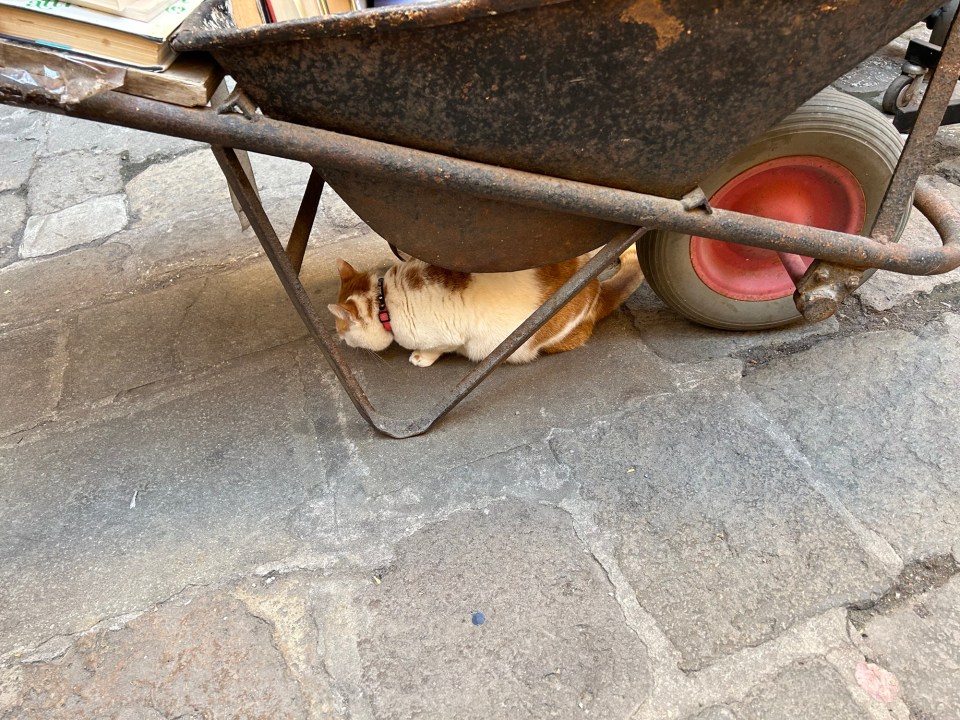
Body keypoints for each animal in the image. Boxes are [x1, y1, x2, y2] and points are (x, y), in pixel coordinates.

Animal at [330, 249, 644, 372]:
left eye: (342, 329)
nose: (339, 338)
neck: (385, 302)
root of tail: (596, 289)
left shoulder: (448, 338)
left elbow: (436, 349)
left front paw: (420, 358)